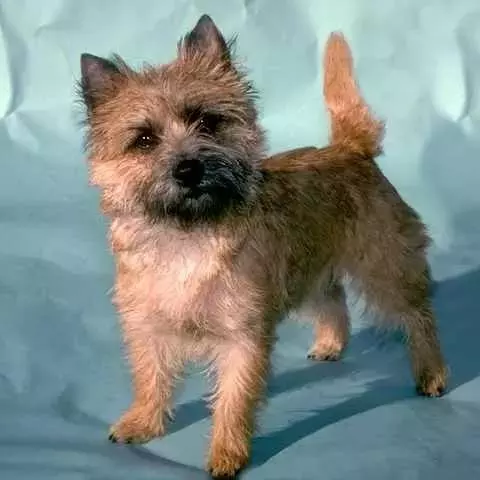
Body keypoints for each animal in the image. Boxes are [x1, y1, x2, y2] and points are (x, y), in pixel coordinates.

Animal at [79, 15, 447, 478]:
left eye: (208, 122)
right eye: (144, 140)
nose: (188, 168)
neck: (189, 236)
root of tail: (351, 148)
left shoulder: (243, 337)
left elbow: (234, 399)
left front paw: (226, 453)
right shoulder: (147, 325)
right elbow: (151, 377)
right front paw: (142, 421)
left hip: (385, 267)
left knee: (418, 315)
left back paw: (432, 373)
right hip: (307, 270)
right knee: (333, 298)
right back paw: (331, 344)